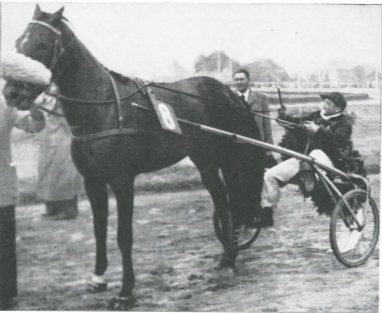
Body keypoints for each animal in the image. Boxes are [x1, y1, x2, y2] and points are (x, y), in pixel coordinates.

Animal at [2, 5, 264, 310]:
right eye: (18, 42)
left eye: (42, 44)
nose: (12, 93)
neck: (103, 108)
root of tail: (227, 91)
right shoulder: (92, 180)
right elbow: (99, 229)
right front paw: (98, 278)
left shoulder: (122, 180)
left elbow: (123, 235)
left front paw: (126, 291)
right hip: (204, 159)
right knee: (221, 197)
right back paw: (225, 255)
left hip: (227, 155)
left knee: (231, 196)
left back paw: (231, 254)